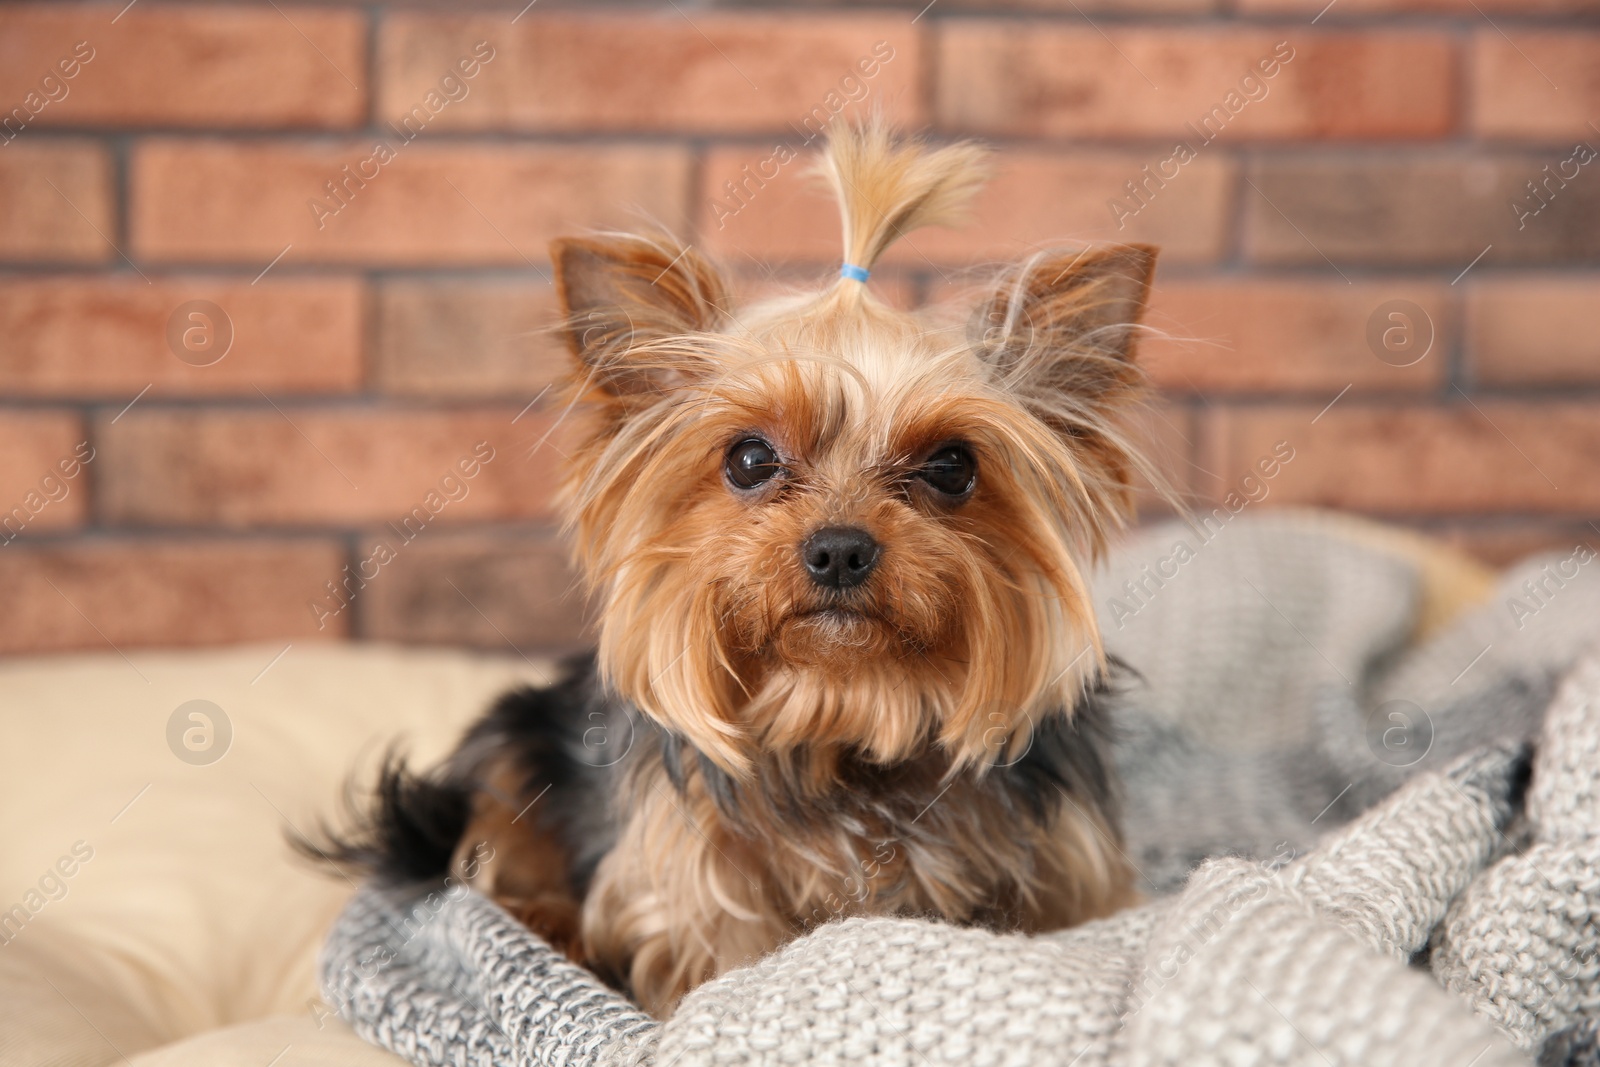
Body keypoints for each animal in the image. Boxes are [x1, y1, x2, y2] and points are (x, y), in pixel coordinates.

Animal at [318, 116, 1158, 1017]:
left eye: (951, 466)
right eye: (751, 458)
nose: (839, 548)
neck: (845, 715)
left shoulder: (1072, 870)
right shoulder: (693, 888)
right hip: (510, 745)